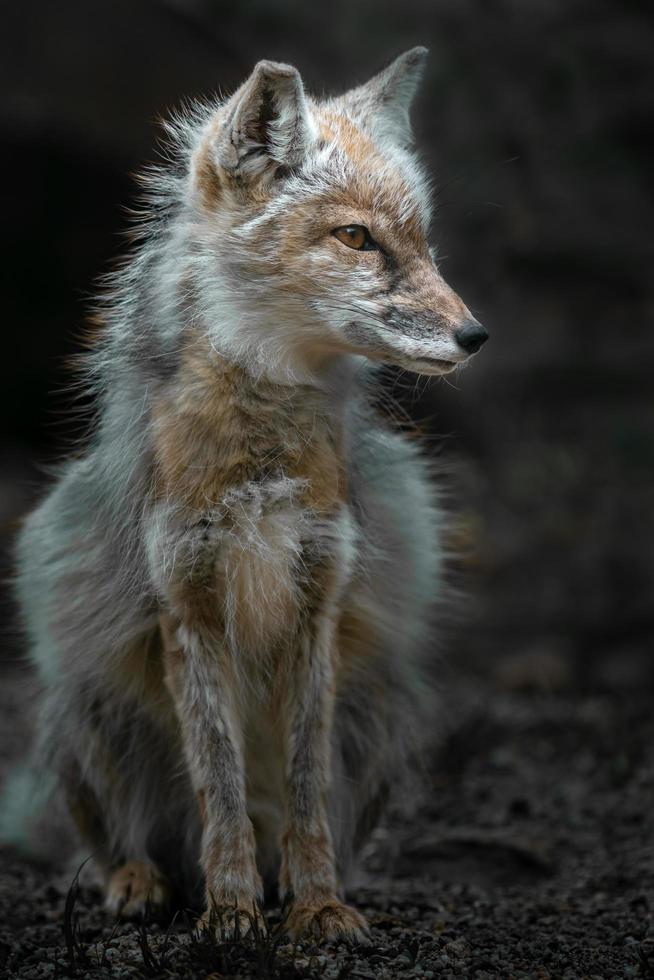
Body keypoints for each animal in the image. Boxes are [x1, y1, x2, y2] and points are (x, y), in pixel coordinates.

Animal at [2, 51, 486, 940]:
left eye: (423, 243)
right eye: (357, 238)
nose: (475, 336)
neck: (261, 462)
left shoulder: (316, 601)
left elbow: (303, 789)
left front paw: (317, 903)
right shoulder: (187, 606)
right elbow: (219, 783)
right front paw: (231, 910)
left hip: (378, 704)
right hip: (89, 698)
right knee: (114, 841)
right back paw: (144, 882)